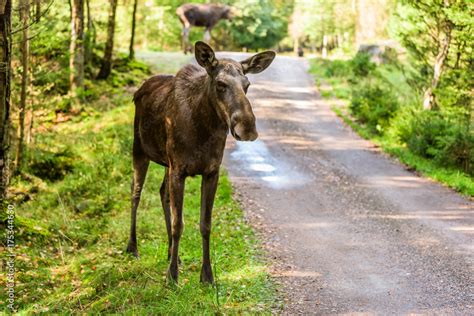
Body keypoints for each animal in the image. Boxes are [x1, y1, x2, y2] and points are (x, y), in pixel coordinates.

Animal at [127, 41, 274, 284]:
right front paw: (172, 277)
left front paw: (206, 275)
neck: (204, 128)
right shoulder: (179, 170)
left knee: (162, 193)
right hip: (139, 150)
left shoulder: (210, 172)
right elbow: (178, 224)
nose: (247, 128)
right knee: (135, 193)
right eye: (221, 84)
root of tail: (140, 89)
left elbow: (205, 224)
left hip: (166, 163)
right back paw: (132, 247)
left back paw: (172, 254)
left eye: (247, 84)